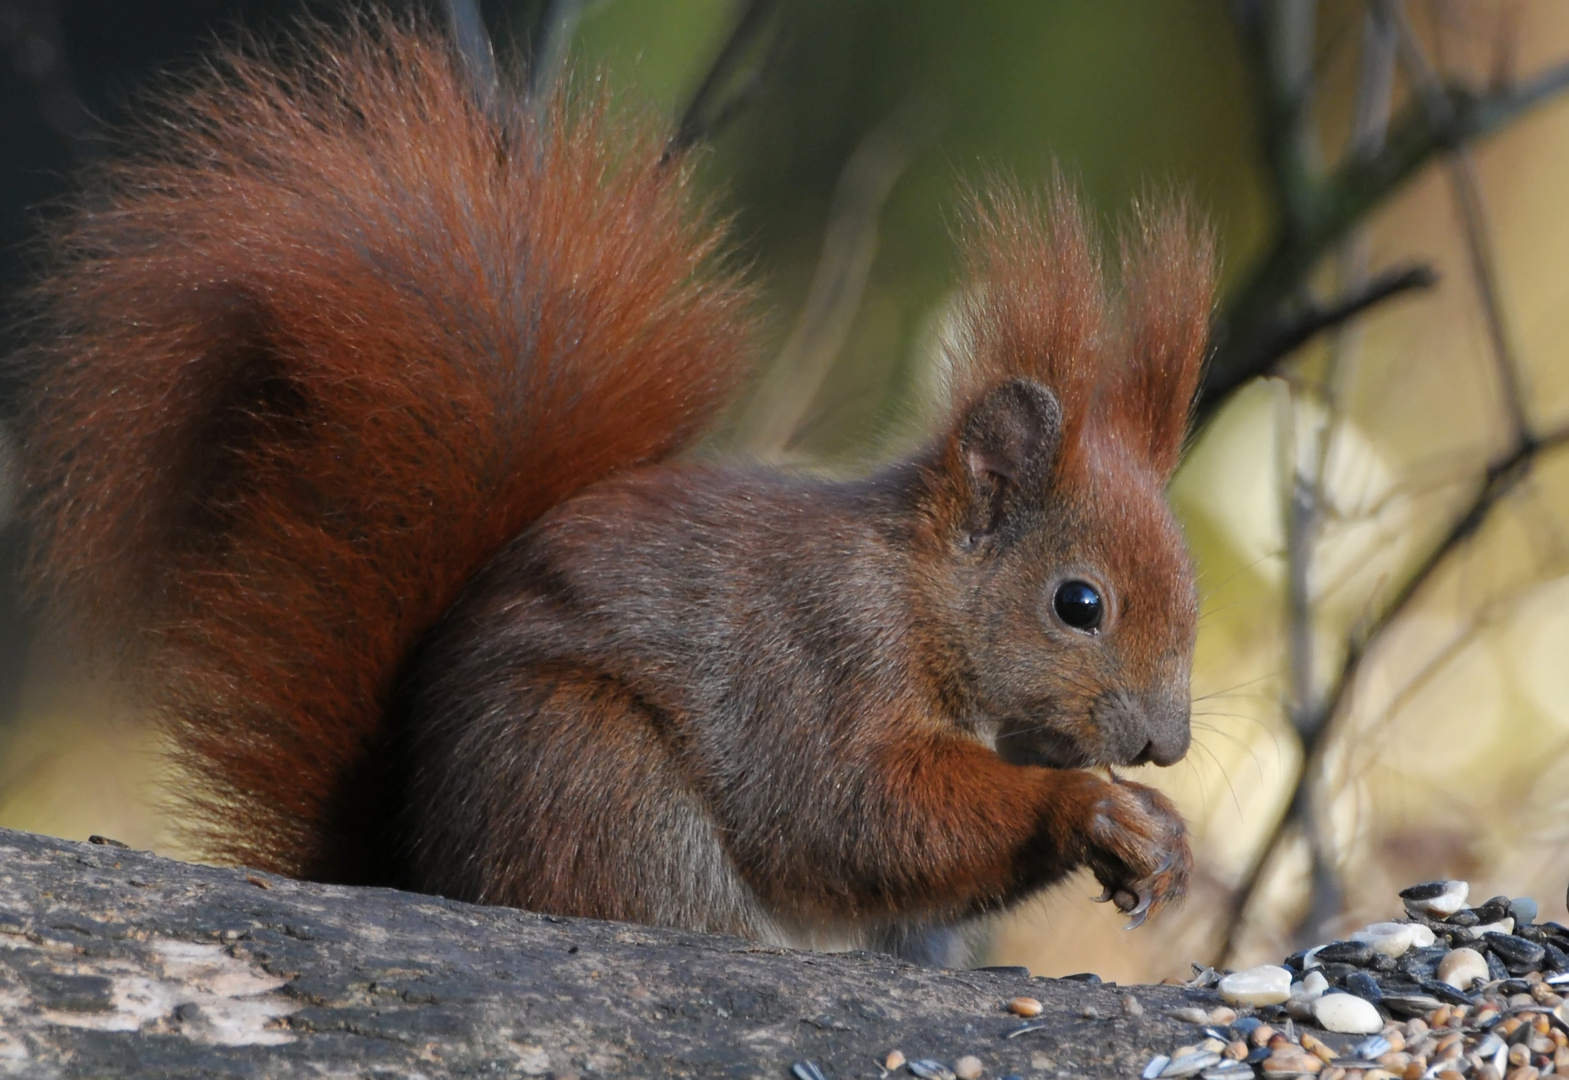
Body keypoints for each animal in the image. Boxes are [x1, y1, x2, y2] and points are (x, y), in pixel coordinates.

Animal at [15, 8, 1211, 954]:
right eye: (1078, 604)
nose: (1167, 745)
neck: (916, 595)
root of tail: (420, 869)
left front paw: (1161, 839)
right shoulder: (816, 661)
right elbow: (854, 812)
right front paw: (1093, 811)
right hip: (592, 775)